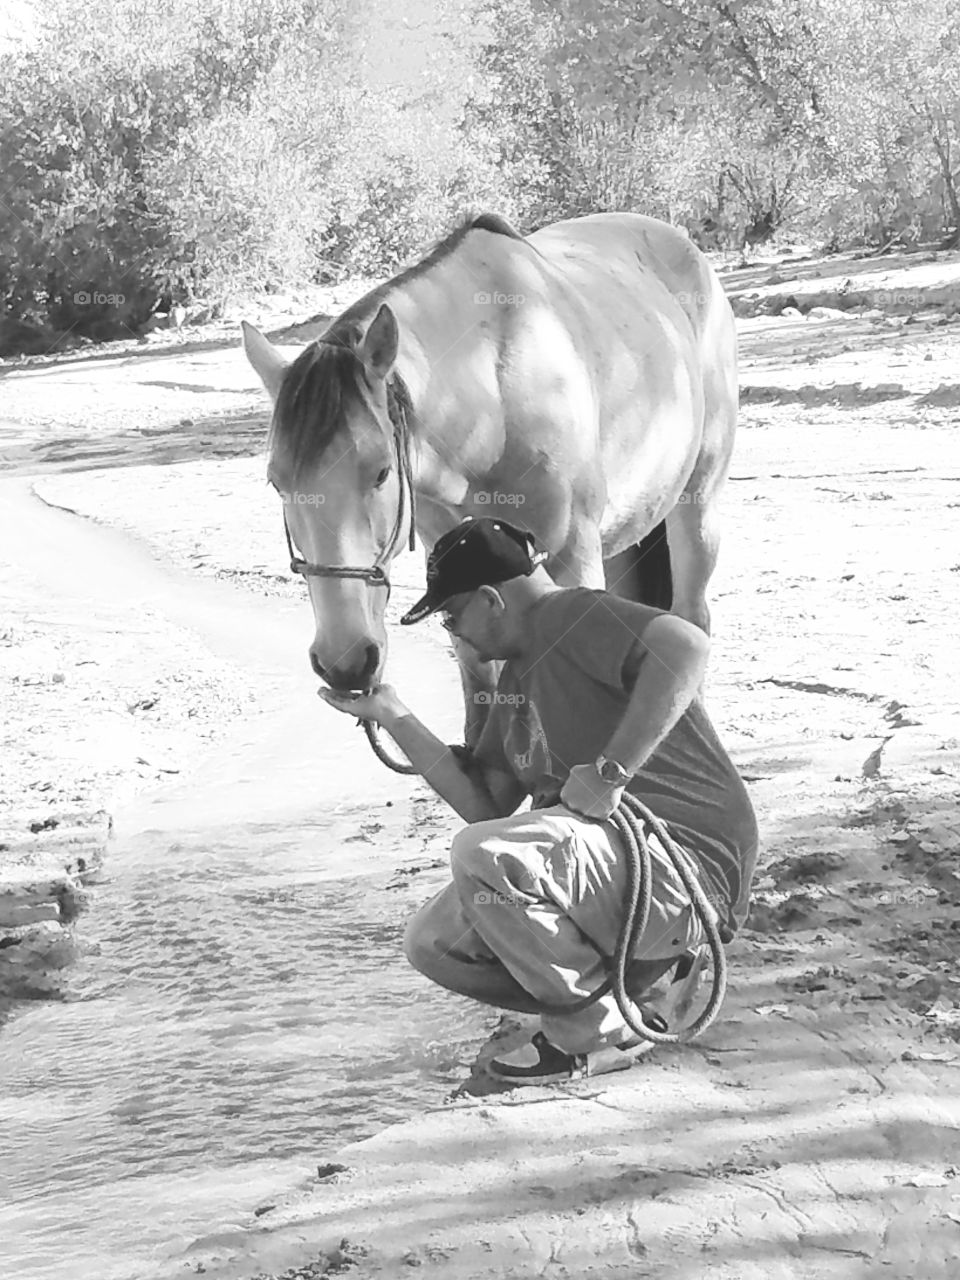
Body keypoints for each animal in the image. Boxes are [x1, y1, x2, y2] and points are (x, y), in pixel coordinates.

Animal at [244, 213, 742, 747]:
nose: (346, 661)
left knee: (692, 614)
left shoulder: (573, 557)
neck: (495, 395)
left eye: (380, 470)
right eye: (277, 483)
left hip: (697, 506)